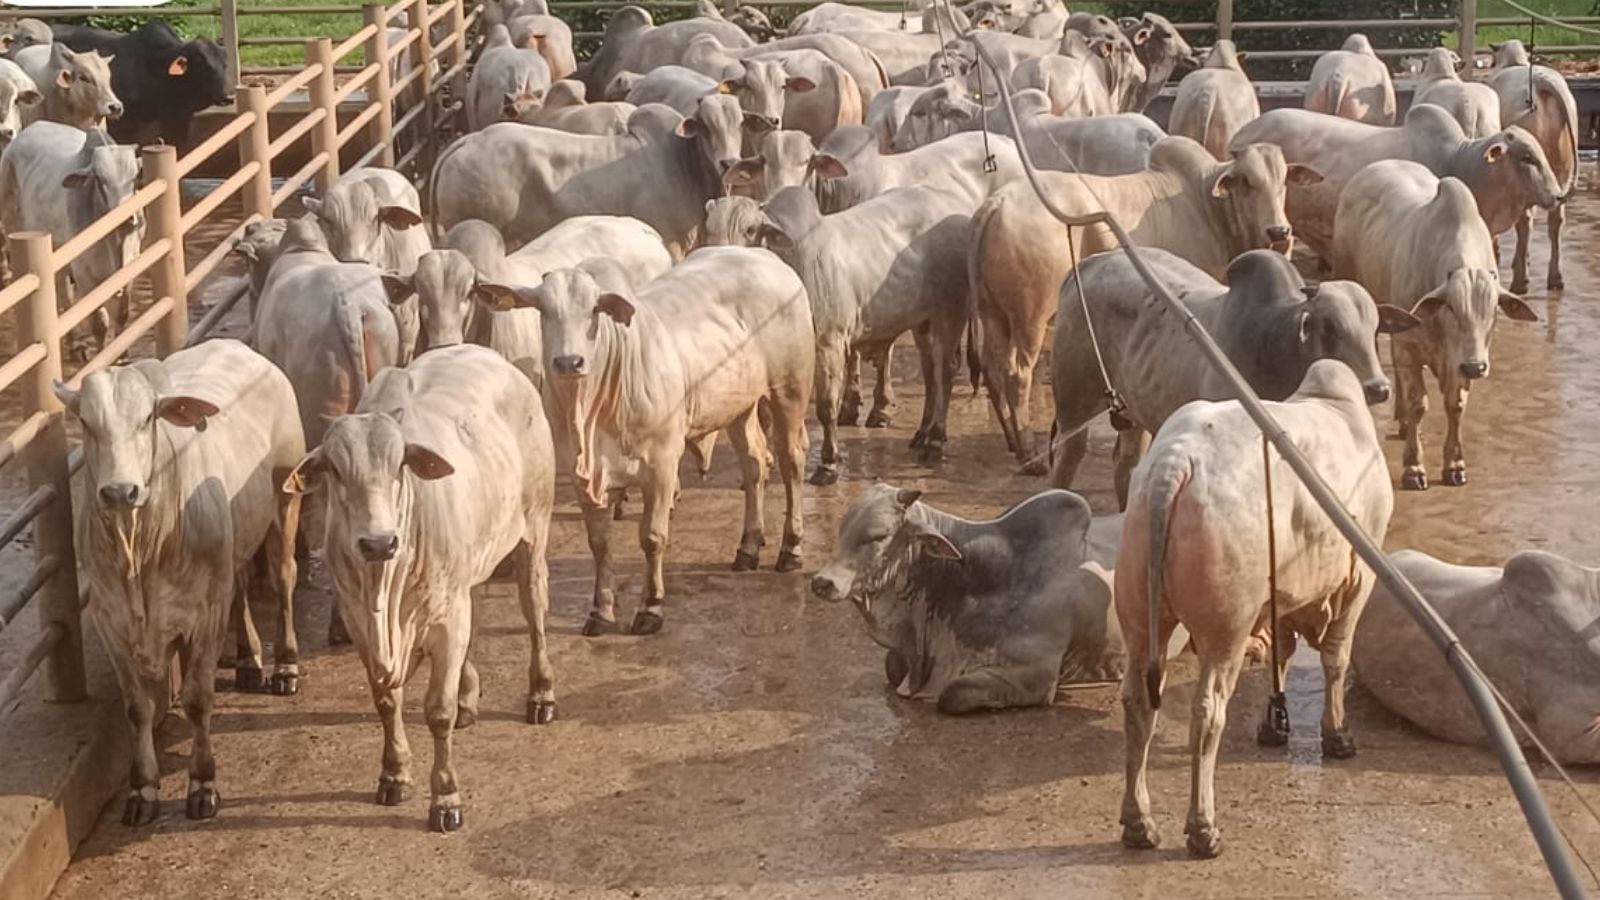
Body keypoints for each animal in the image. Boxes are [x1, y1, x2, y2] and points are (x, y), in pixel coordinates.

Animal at [55, 339, 305, 826]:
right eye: (85, 423)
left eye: (148, 418)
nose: (119, 492)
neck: (140, 547)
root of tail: (239, 345)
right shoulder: (110, 623)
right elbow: (137, 709)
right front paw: (143, 790)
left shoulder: (203, 619)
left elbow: (197, 699)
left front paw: (203, 785)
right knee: (240, 588)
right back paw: (249, 661)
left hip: (285, 501)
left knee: (285, 580)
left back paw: (285, 665)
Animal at [812, 483, 1126, 714]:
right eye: (843, 529)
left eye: (878, 536)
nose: (821, 582)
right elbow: (892, 666)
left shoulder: (1037, 674)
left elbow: (951, 694)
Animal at [1120, 357, 1395, 851]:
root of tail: (1173, 462)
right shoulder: (1358, 581)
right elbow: (1336, 659)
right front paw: (1337, 735)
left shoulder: (1279, 595)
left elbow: (1282, 656)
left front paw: (1275, 725)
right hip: (1224, 627)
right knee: (1208, 712)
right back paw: (1203, 828)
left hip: (1139, 611)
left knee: (1136, 703)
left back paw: (1140, 823)